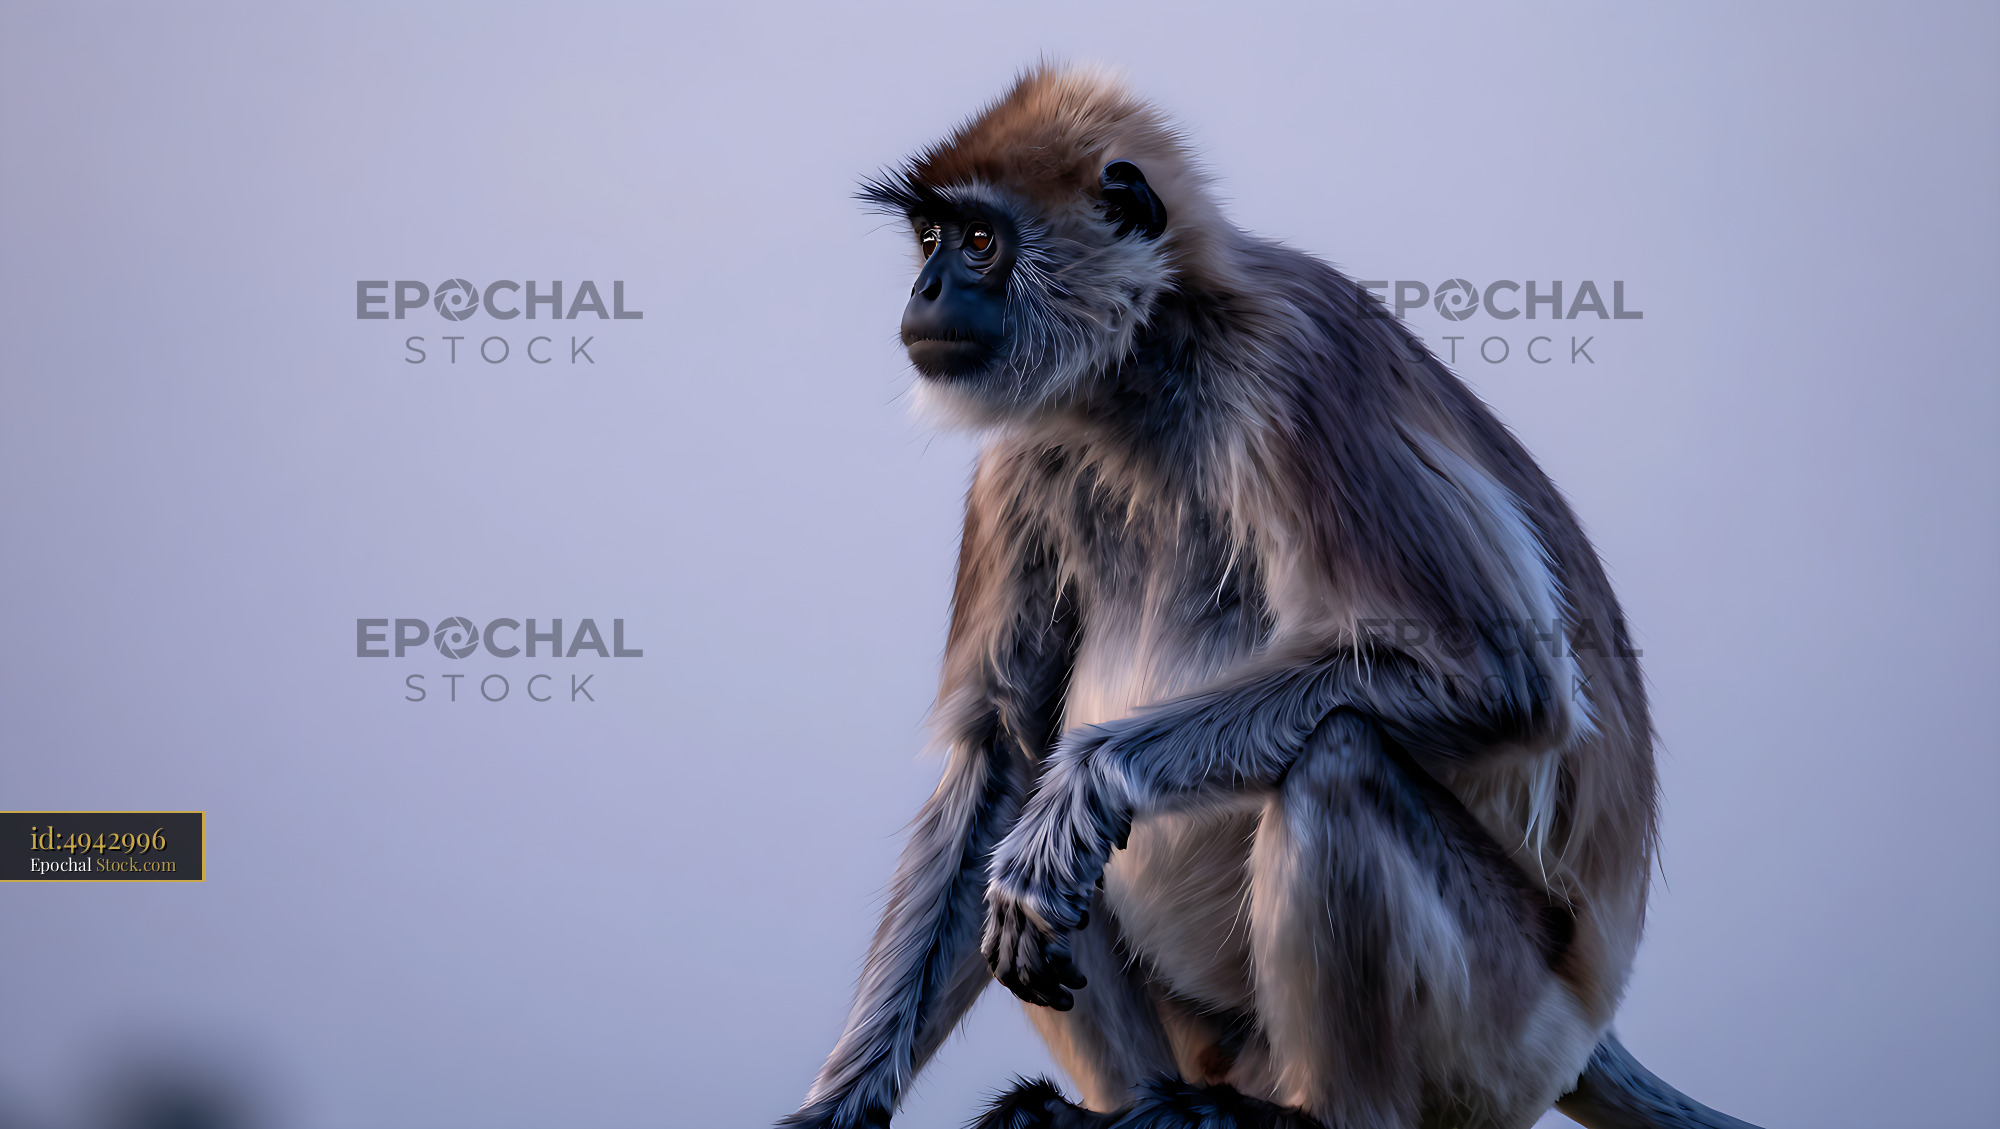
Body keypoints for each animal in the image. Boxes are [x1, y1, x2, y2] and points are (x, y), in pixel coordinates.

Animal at [779, 65, 1763, 1129]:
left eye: (978, 243)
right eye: (929, 240)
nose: (925, 291)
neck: (1145, 370)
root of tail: (1586, 1022)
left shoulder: (1292, 364)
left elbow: (1502, 677)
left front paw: (1090, 786)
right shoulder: (1025, 446)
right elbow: (1000, 756)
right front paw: (837, 1107)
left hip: (1505, 1032)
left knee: (1338, 755)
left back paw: (1313, 1110)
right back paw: (1136, 1103)